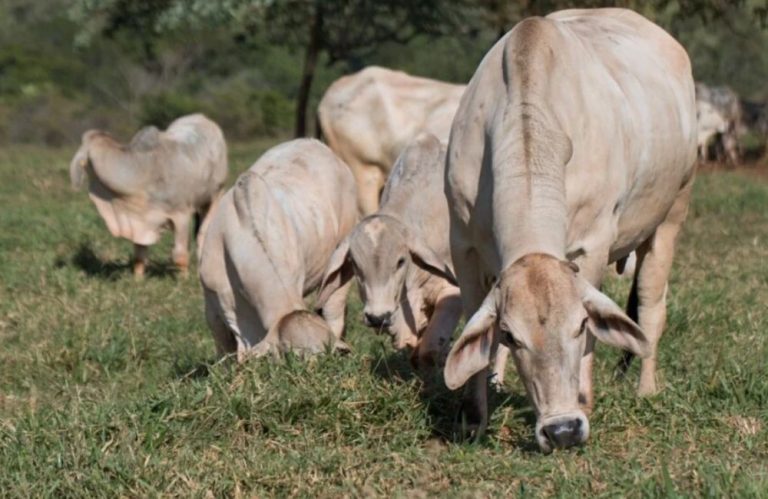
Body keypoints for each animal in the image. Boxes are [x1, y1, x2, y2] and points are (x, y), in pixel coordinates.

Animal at [70, 114, 228, 278]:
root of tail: (202, 118)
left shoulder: (181, 215)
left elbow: (180, 255)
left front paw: (183, 279)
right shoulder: (139, 220)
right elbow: (139, 255)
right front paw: (137, 279)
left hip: (216, 194)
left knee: (203, 233)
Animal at [440, 7, 700, 454]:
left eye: (579, 325)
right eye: (510, 335)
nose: (562, 430)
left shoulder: (591, 246)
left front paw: (585, 400)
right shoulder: (464, 244)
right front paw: (475, 417)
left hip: (671, 216)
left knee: (652, 306)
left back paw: (646, 389)